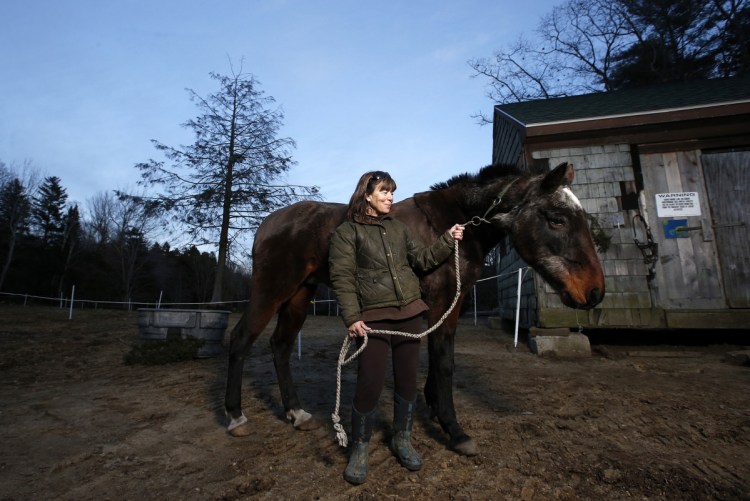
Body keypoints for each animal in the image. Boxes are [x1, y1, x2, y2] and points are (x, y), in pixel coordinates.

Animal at [223, 162, 604, 456]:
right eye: (556, 219)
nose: (595, 291)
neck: (453, 223)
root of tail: (268, 224)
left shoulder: (453, 303)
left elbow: (441, 357)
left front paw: (435, 408)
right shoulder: (441, 303)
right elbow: (444, 361)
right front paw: (455, 430)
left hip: (299, 296)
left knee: (281, 346)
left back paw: (296, 413)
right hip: (272, 292)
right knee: (240, 340)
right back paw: (235, 417)